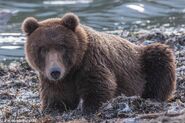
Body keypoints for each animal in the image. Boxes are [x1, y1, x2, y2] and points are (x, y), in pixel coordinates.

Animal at [21, 12, 176, 114]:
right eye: (43, 49)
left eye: (62, 46)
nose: (55, 71)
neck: (73, 69)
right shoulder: (56, 80)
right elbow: (57, 97)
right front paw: (53, 109)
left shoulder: (91, 61)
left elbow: (100, 85)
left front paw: (89, 108)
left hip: (142, 61)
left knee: (160, 59)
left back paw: (153, 97)